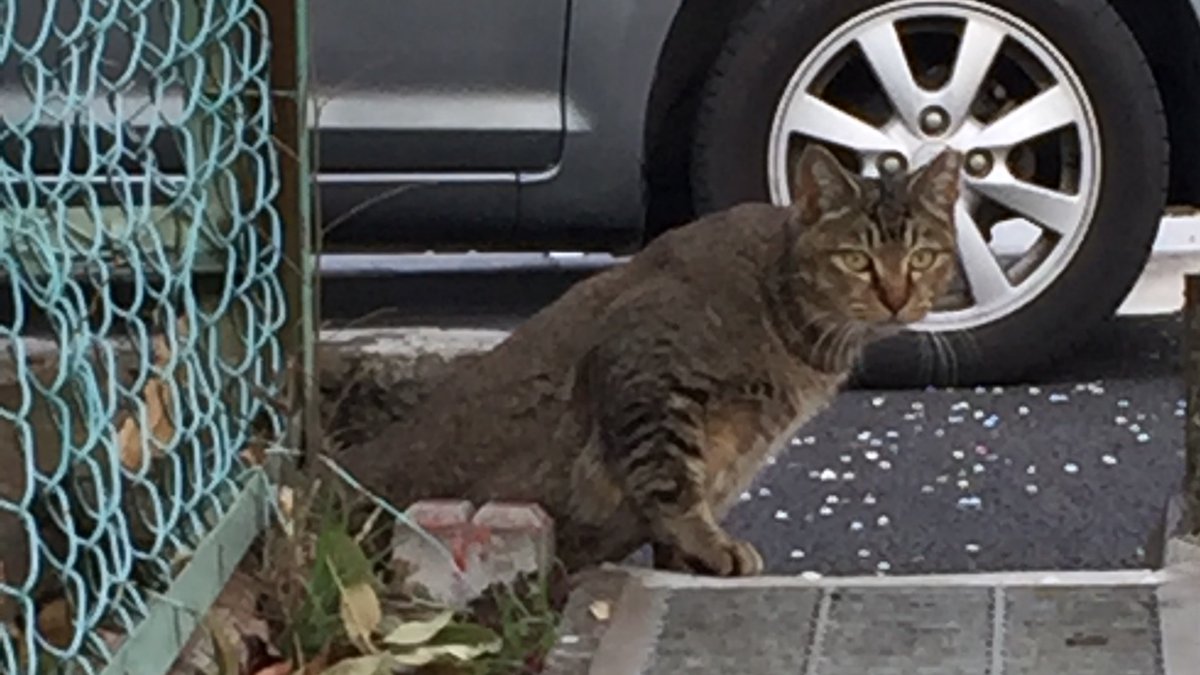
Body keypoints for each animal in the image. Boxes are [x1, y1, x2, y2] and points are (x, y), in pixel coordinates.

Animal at [340, 144, 964, 576]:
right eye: (856, 260)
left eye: (923, 256)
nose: (896, 297)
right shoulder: (649, 376)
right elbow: (673, 485)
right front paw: (714, 545)